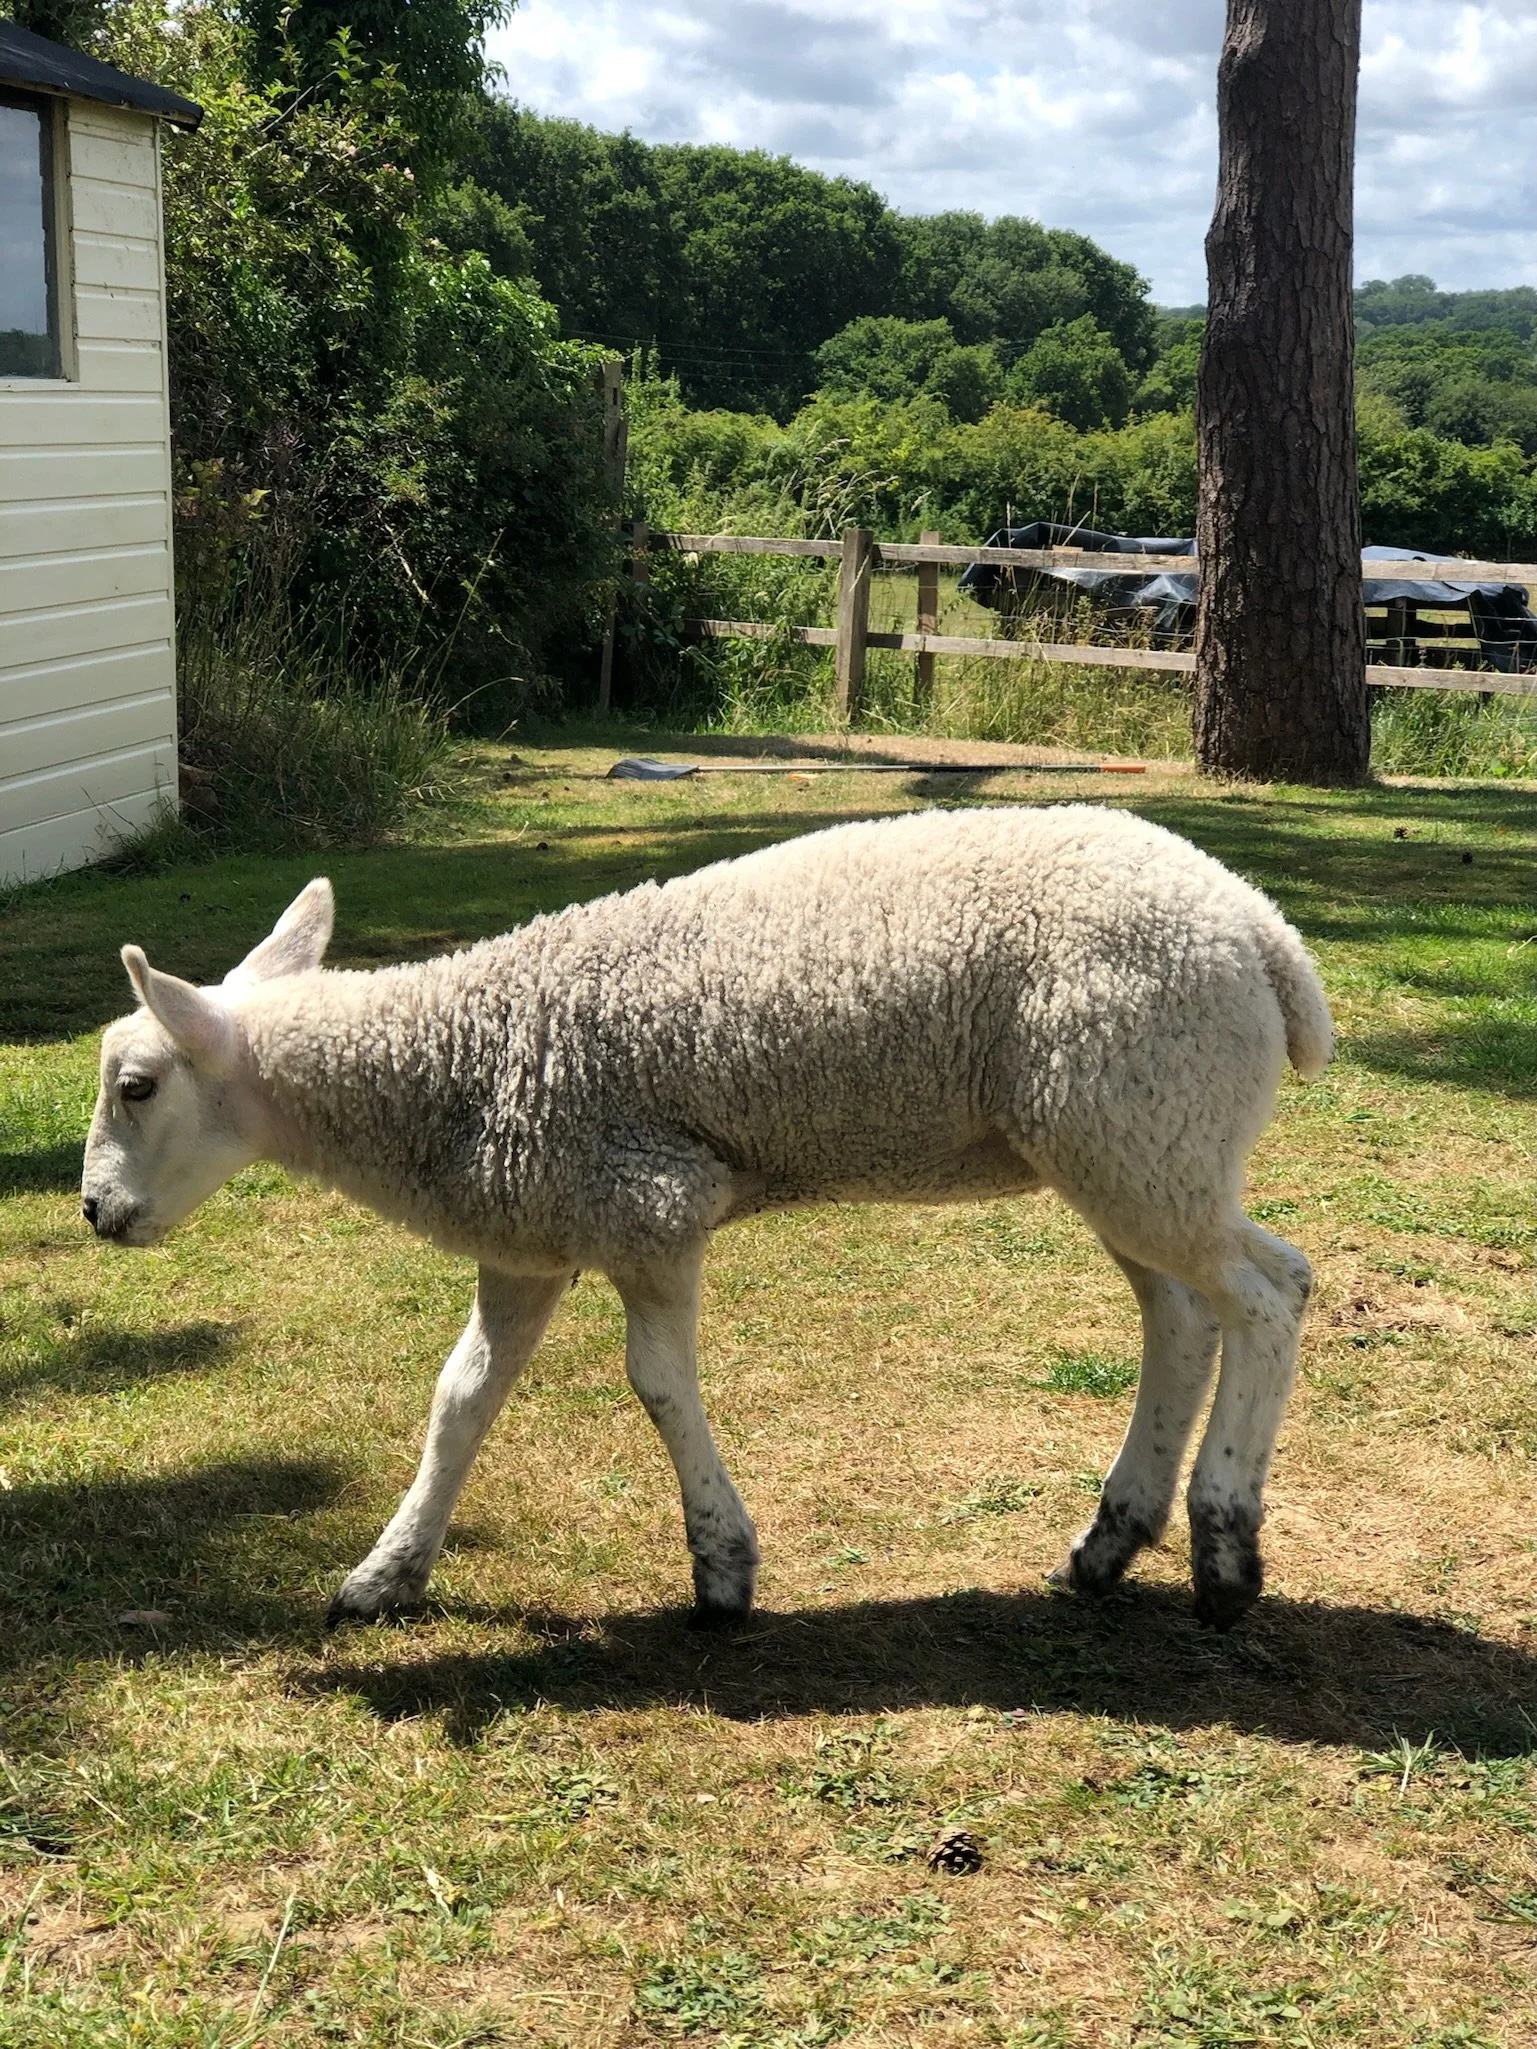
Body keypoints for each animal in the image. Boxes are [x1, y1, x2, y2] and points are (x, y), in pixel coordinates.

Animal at [81, 804, 1332, 1632]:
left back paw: (1225, 1543)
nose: (94, 1212)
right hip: (1133, 1143)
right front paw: (388, 1573)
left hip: (1140, 1123)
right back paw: (1111, 1541)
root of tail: (1264, 934)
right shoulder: (528, 1237)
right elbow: (461, 1400)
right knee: (1183, 1316)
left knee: (1270, 1292)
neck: (449, 1068)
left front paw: (722, 1568)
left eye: (136, 1087)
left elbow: (657, 1385)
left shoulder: (649, 1205)